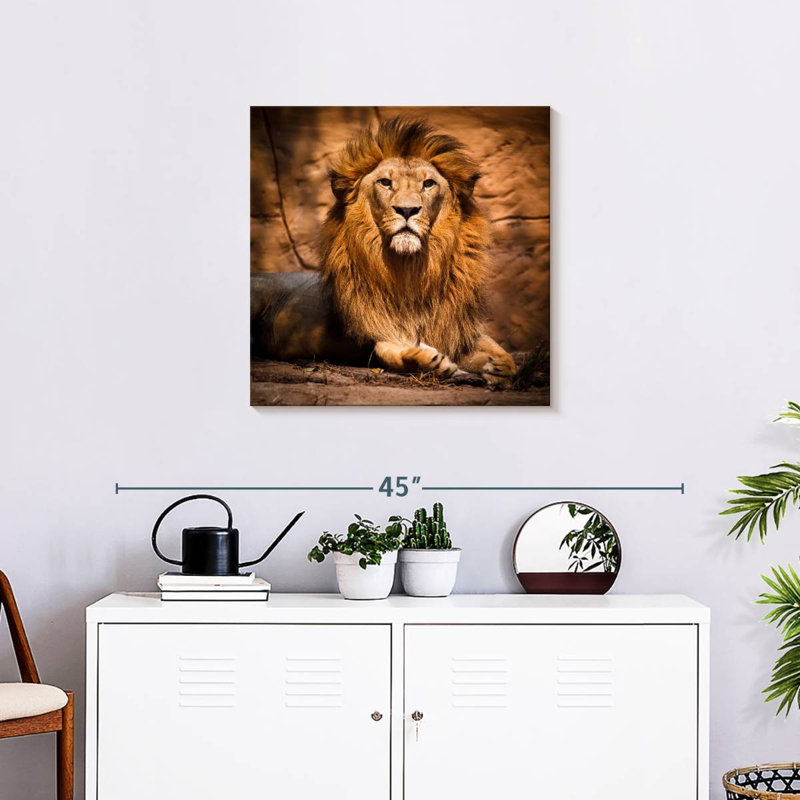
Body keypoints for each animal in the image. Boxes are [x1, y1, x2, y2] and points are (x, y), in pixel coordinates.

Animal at [250, 117, 517, 387]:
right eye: (385, 182)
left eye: (428, 183)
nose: (407, 210)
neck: (409, 269)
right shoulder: (376, 332)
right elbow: (391, 351)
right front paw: (431, 360)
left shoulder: (455, 328)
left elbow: (499, 353)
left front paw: (499, 367)